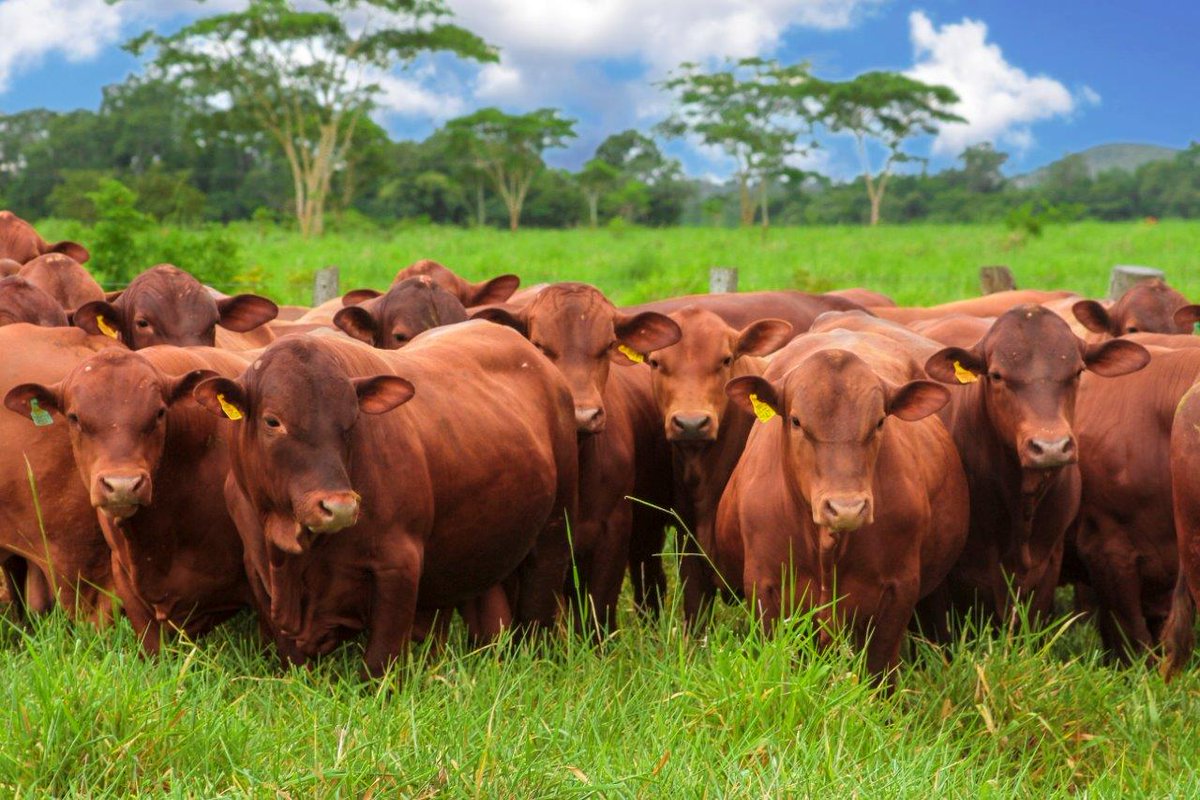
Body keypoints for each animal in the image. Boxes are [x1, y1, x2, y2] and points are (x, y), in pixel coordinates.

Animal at [192, 324, 578, 677]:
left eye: (351, 422)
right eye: (273, 421)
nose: (339, 507)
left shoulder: (399, 565)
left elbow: (380, 662)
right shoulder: (258, 568)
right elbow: (293, 660)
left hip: (554, 531)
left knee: (538, 610)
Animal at [715, 330, 969, 678]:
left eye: (879, 422)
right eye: (796, 421)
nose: (846, 507)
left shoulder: (899, 591)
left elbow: (878, 670)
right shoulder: (764, 587)